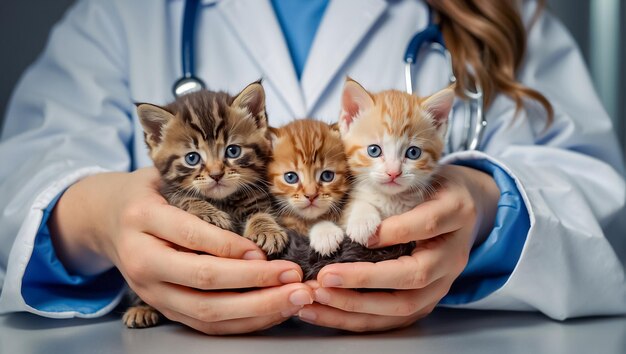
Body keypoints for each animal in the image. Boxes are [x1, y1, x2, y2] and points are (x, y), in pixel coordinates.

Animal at [125, 81, 286, 328]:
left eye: (233, 150)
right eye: (192, 158)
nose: (216, 174)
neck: (224, 200)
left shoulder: (260, 195)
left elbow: (262, 212)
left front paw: (267, 230)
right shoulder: (169, 193)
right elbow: (186, 199)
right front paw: (210, 214)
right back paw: (141, 309)